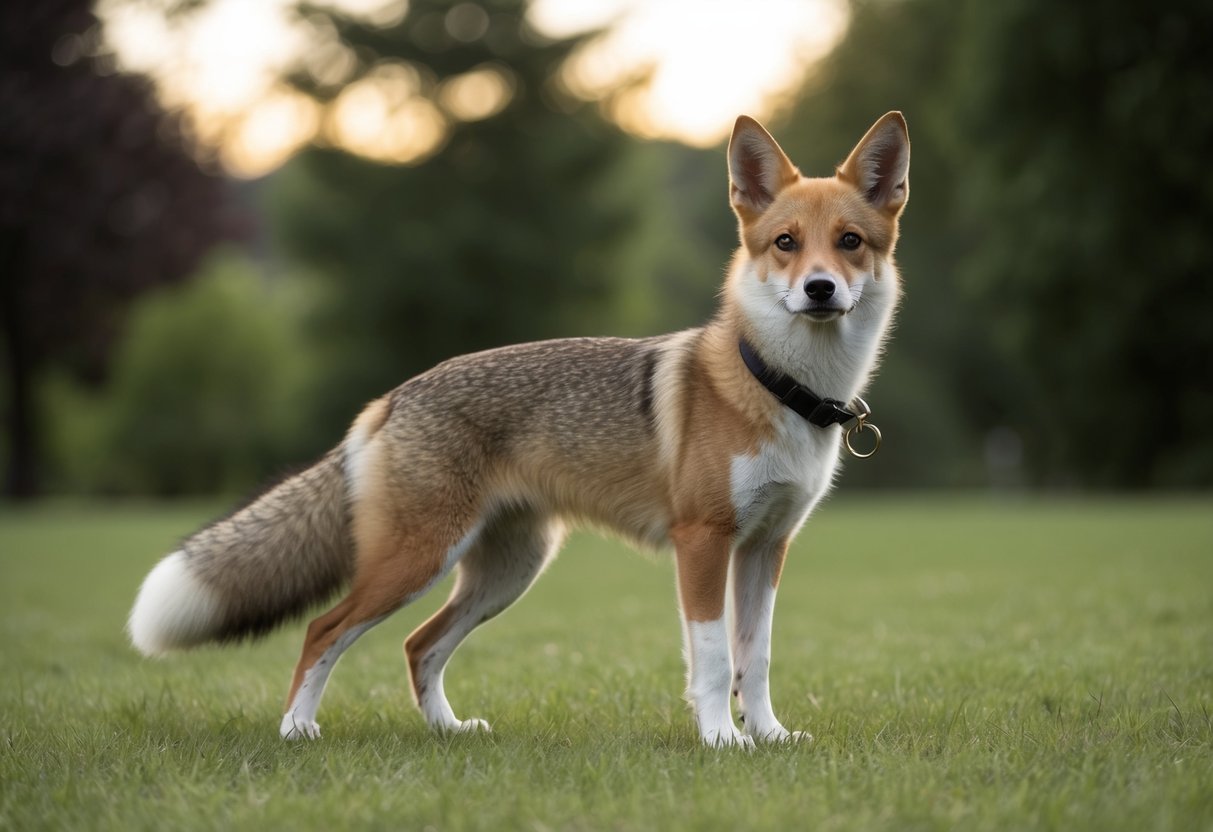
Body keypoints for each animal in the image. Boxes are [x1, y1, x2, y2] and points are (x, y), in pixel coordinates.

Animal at [128, 112, 910, 747]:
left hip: (504, 572)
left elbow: (759, 659)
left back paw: (447, 732)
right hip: (417, 561)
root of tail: (392, 398)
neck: (777, 386)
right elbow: (717, 662)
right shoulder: (704, 541)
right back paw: (297, 730)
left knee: (417, 646)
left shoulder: (765, 549)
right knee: (325, 629)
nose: (819, 290)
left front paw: (768, 736)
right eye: (785, 243)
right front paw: (722, 741)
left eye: (849, 242)